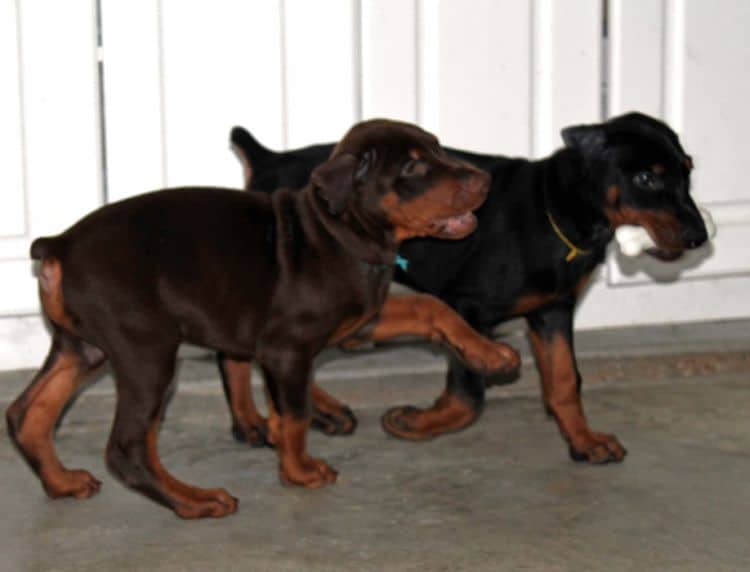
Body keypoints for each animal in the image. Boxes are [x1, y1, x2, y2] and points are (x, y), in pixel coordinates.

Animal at [7, 119, 524, 520]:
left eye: (438, 147)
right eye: (413, 167)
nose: (484, 181)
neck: (337, 232)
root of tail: (58, 245)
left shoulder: (362, 319)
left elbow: (430, 306)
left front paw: (492, 354)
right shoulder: (287, 348)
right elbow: (293, 415)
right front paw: (300, 471)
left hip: (83, 347)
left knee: (26, 414)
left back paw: (62, 482)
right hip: (145, 352)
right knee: (128, 447)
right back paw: (195, 501)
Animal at [226, 113, 708, 464]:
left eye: (688, 171)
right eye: (646, 178)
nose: (700, 237)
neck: (556, 212)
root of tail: (268, 160)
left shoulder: (552, 311)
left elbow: (565, 380)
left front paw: (584, 440)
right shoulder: (469, 306)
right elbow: (469, 392)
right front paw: (418, 422)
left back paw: (312, 413)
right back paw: (259, 421)